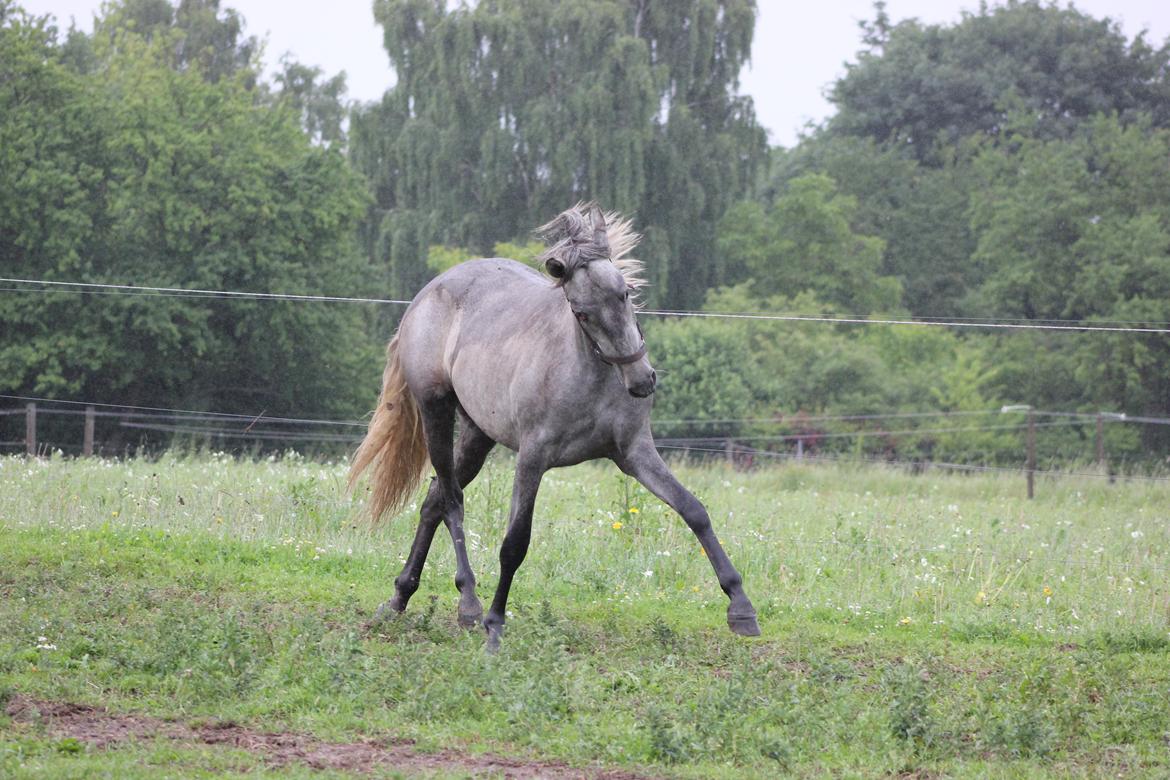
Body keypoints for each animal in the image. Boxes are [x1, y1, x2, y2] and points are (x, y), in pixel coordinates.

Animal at [346, 203, 758, 654]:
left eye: (625, 293)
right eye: (582, 313)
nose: (641, 381)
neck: (590, 376)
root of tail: (427, 293)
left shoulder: (634, 453)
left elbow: (693, 510)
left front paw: (741, 607)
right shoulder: (533, 458)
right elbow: (514, 544)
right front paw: (495, 626)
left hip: (477, 435)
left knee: (434, 500)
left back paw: (400, 597)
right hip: (436, 410)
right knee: (452, 501)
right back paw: (468, 604)